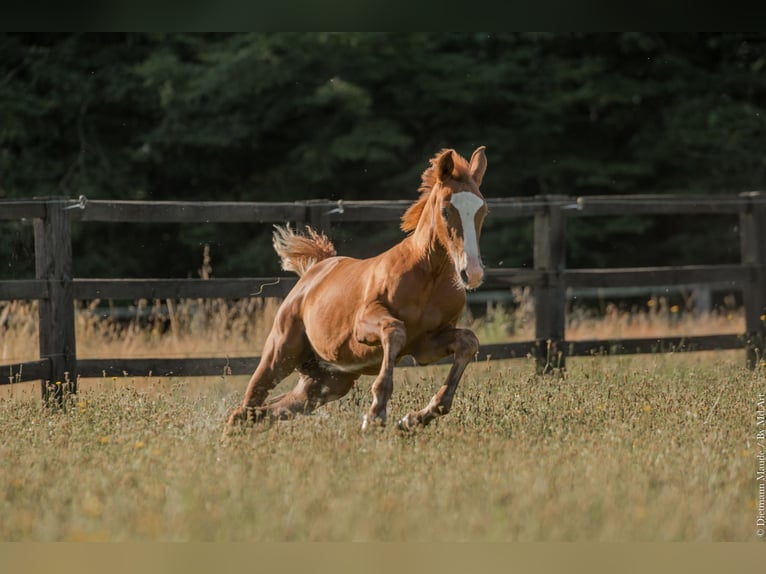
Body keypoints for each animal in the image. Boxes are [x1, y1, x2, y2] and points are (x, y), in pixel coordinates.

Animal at [228, 146, 488, 430]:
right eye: (445, 209)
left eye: (483, 210)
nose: (472, 272)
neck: (428, 277)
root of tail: (313, 272)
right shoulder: (363, 325)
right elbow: (395, 330)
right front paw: (375, 415)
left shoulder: (426, 345)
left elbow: (468, 342)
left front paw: (412, 419)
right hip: (280, 354)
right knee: (246, 406)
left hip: (325, 383)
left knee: (263, 411)